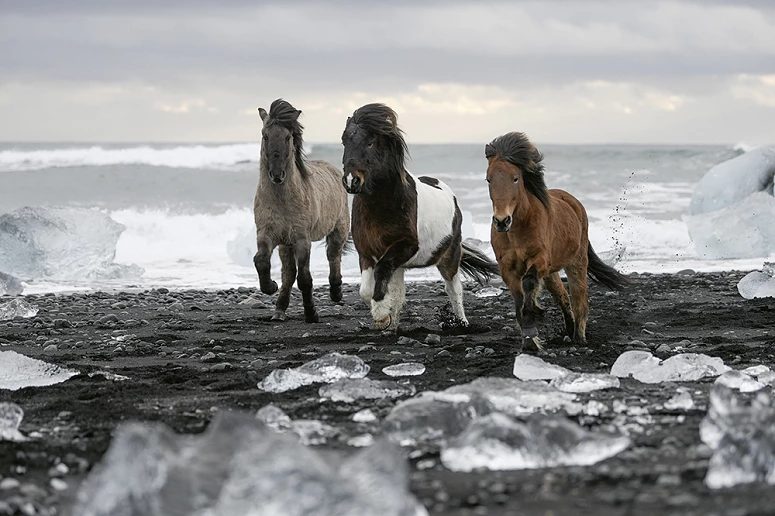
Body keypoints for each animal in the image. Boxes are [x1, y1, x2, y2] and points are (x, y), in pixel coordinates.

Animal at [253, 99, 350, 320]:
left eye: (288, 136)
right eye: (265, 135)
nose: (277, 175)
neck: (281, 200)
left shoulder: (301, 239)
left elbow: (305, 278)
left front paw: (311, 314)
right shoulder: (267, 234)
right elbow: (261, 260)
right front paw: (270, 287)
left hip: (338, 231)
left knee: (334, 256)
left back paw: (336, 293)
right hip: (285, 245)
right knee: (289, 273)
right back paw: (279, 310)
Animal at [342, 104, 498, 330]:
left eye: (370, 142)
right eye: (344, 141)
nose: (351, 181)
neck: (381, 208)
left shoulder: (405, 246)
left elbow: (380, 275)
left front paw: (381, 315)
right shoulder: (366, 252)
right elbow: (366, 290)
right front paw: (385, 318)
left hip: (449, 257)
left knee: (454, 289)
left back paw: (462, 322)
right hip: (400, 263)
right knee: (399, 292)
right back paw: (394, 326)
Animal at [488, 132, 628, 346]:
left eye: (515, 178)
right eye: (488, 179)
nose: (502, 221)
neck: (517, 231)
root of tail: (573, 202)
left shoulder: (539, 259)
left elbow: (529, 283)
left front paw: (533, 317)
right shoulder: (507, 269)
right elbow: (518, 300)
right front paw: (530, 338)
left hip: (576, 262)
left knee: (579, 299)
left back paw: (579, 337)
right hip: (551, 272)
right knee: (562, 296)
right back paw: (568, 331)